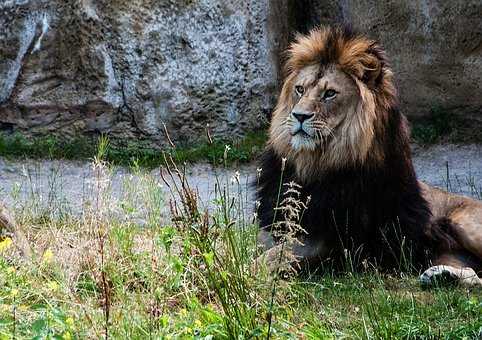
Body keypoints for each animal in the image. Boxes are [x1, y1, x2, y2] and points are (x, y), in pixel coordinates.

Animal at [258, 25, 482, 286]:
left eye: (330, 94)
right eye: (300, 89)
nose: (299, 115)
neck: (312, 166)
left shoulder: (327, 238)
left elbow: (273, 256)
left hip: (464, 221)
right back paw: (441, 275)